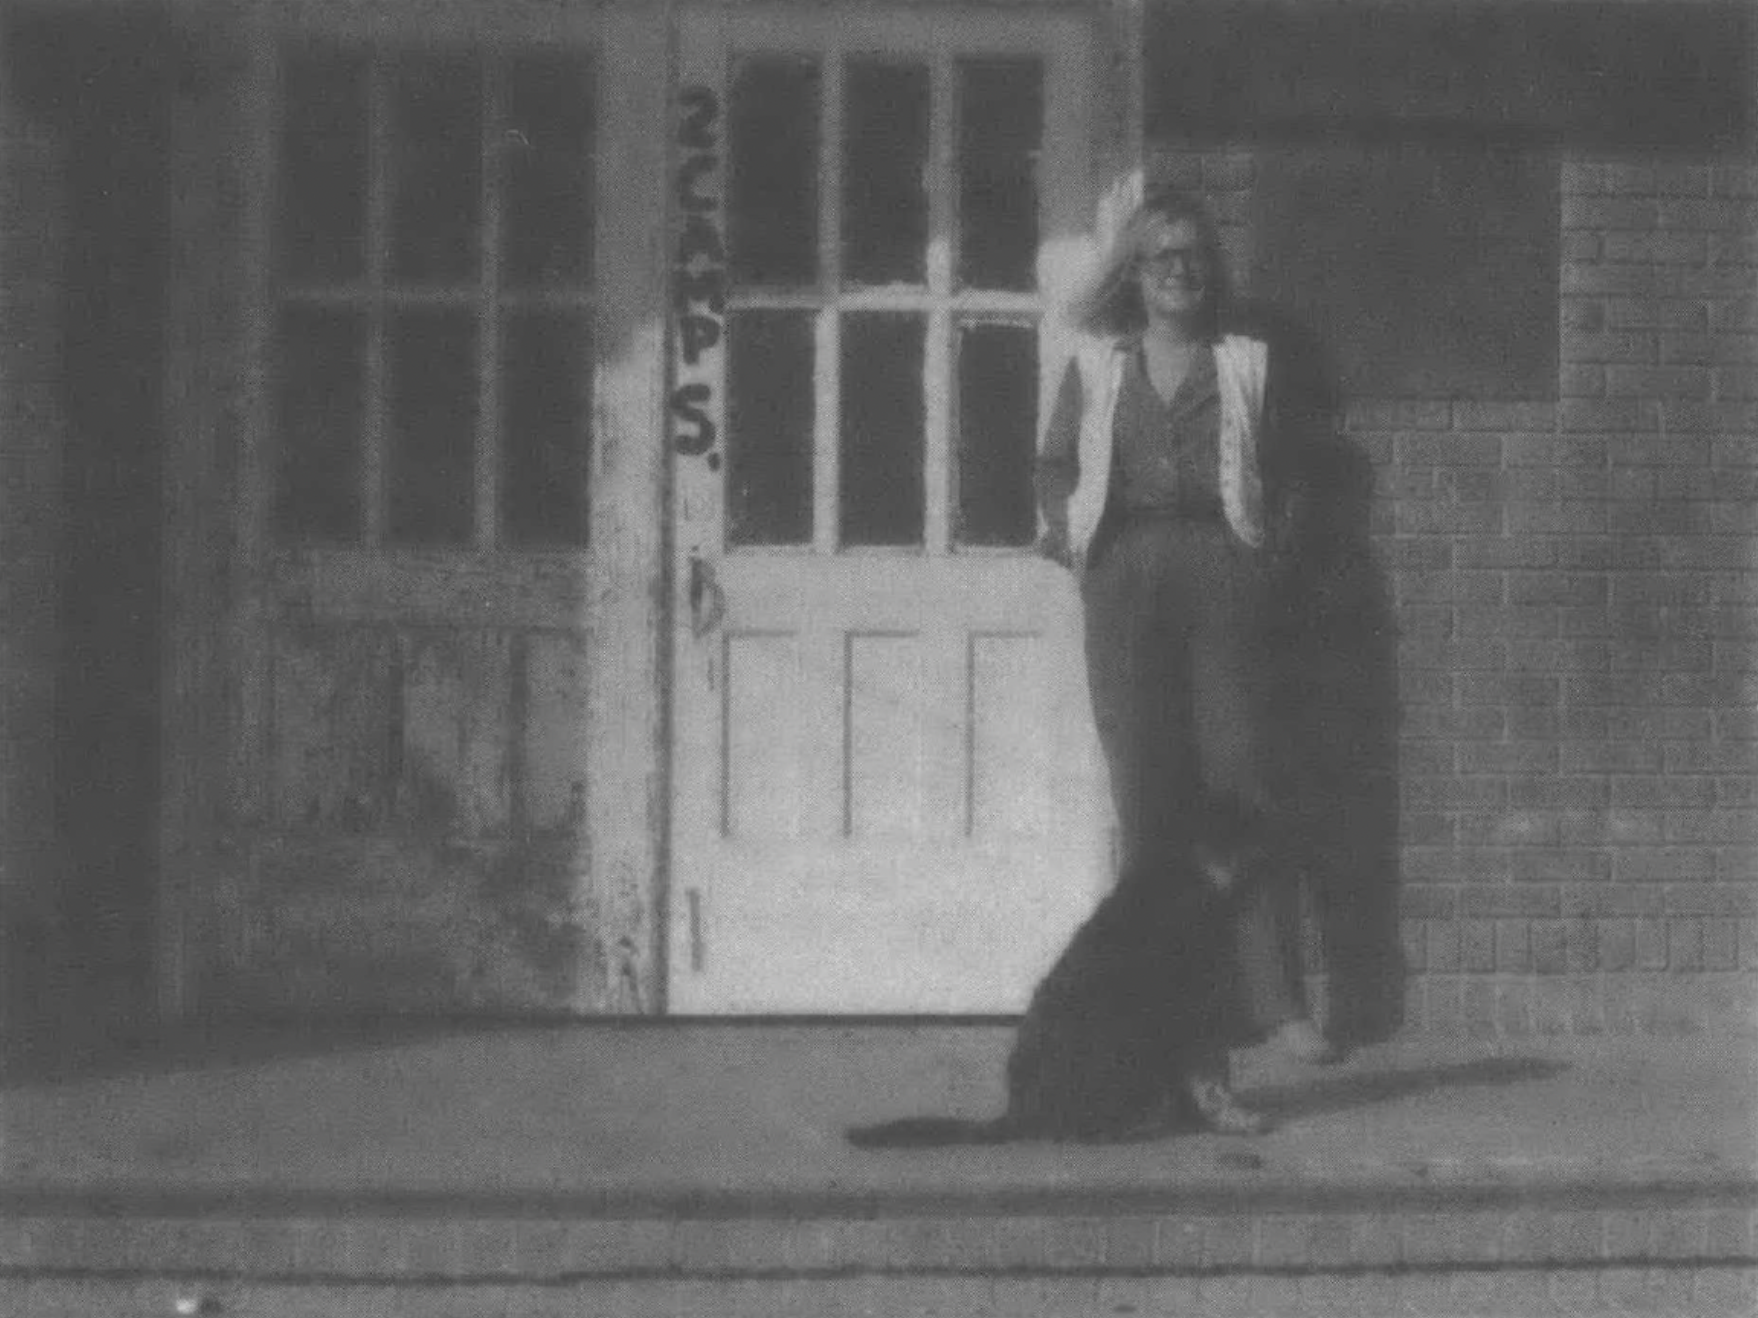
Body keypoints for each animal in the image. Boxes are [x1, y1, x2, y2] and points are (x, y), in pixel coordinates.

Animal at [843, 850, 1244, 1152]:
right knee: (1086, 1128)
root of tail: (1018, 1113)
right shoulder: (1199, 1015)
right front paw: (1232, 1118)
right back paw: (1134, 1124)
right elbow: (1212, 1082)